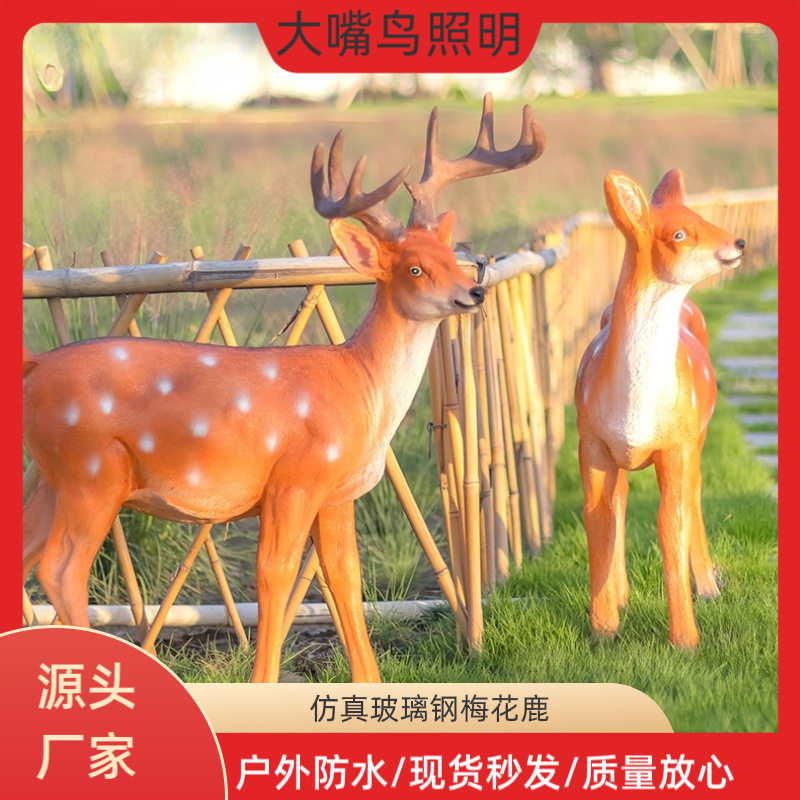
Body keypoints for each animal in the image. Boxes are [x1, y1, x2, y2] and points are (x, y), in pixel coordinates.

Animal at [22, 94, 545, 683]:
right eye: (414, 268)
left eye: (450, 253)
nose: (474, 292)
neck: (362, 386)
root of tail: (33, 366)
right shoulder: (294, 477)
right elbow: (275, 573)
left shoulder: (337, 494)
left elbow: (346, 580)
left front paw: (368, 682)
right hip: (91, 471)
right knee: (60, 568)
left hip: (56, 476)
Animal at [575, 168, 745, 650]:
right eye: (680, 233)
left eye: (701, 217)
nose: (739, 243)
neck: (637, 410)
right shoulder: (591, 441)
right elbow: (598, 518)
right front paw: (604, 630)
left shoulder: (676, 444)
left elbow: (672, 522)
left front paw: (686, 639)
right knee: (620, 502)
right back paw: (622, 595)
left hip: (699, 435)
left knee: (694, 493)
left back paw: (707, 586)